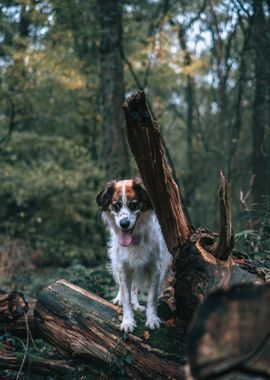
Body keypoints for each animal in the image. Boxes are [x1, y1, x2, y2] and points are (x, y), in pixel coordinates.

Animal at [96, 177, 171, 332]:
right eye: (116, 206)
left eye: (134, 205)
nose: (124, 223)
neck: (134, 240)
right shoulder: (123, 268)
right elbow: (126, 297)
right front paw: (127, 321)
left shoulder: (155, 269)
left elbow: (152, 297)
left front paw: (152, 319)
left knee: (135, 287)